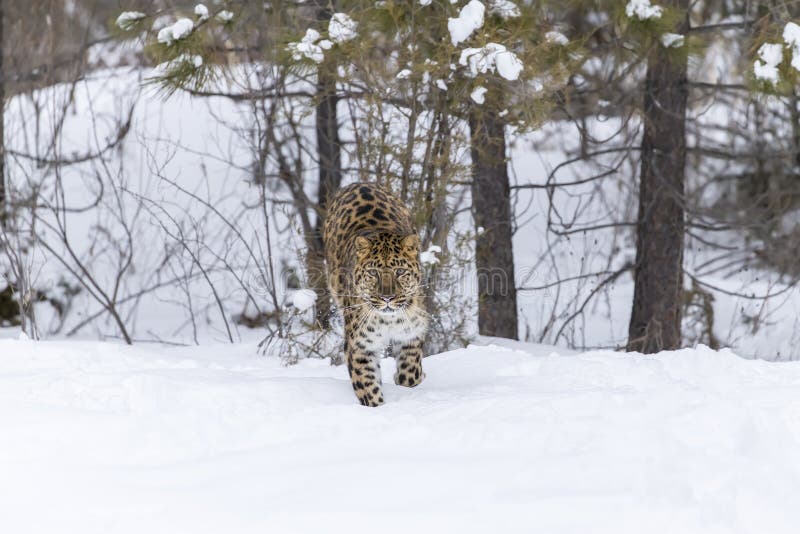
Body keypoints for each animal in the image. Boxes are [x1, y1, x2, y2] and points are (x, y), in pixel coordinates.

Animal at [323, 182, 429, 407]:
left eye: (400, 272)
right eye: (373, 273)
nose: (387, 298)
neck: (389, 320)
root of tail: (359, 183)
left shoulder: (411, 334)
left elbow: (410, 374)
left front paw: (407, 380)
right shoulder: (360, 346)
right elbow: (368, 389)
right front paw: (377, 408)